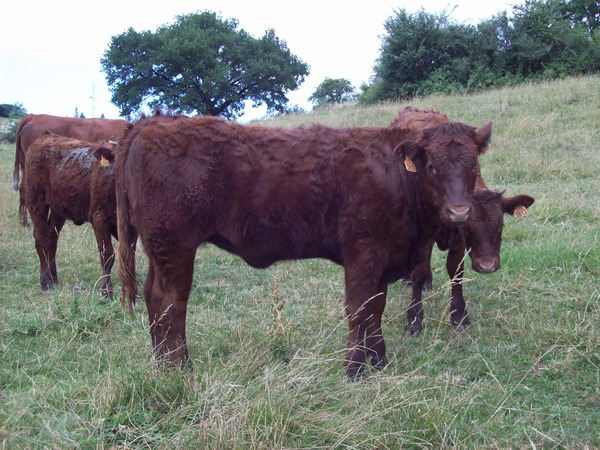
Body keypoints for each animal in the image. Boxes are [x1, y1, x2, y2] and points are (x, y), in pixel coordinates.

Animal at [23, 135, 117, 300]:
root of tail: (45, 137)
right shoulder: (99, 219)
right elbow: (107, 254)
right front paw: (107, 292)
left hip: (57, 211)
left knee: (51, 239)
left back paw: (53, 278)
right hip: (36, 203)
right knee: (41, 238)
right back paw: (46, 282)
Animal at [116, 110, 492, 378]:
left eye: (473, 164)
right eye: (431, 165)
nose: (459, 211)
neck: (396, 174)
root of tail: (148, 124)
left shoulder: (384, 259)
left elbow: (376, 307)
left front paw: (379, 359)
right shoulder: (364, 252)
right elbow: (358, 308)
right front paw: (355, 368)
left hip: (161, 250)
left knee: (153, 297)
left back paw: (162, 364)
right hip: (175, 247)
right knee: (170, 300)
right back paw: (178, 367)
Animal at [392, 106, 536, 334]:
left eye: (500, 226)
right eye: (469, 229)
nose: (487, 266)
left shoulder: (456, 241)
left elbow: (456, 272)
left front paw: (459, 316)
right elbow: (419, 272)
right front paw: (414, 319)